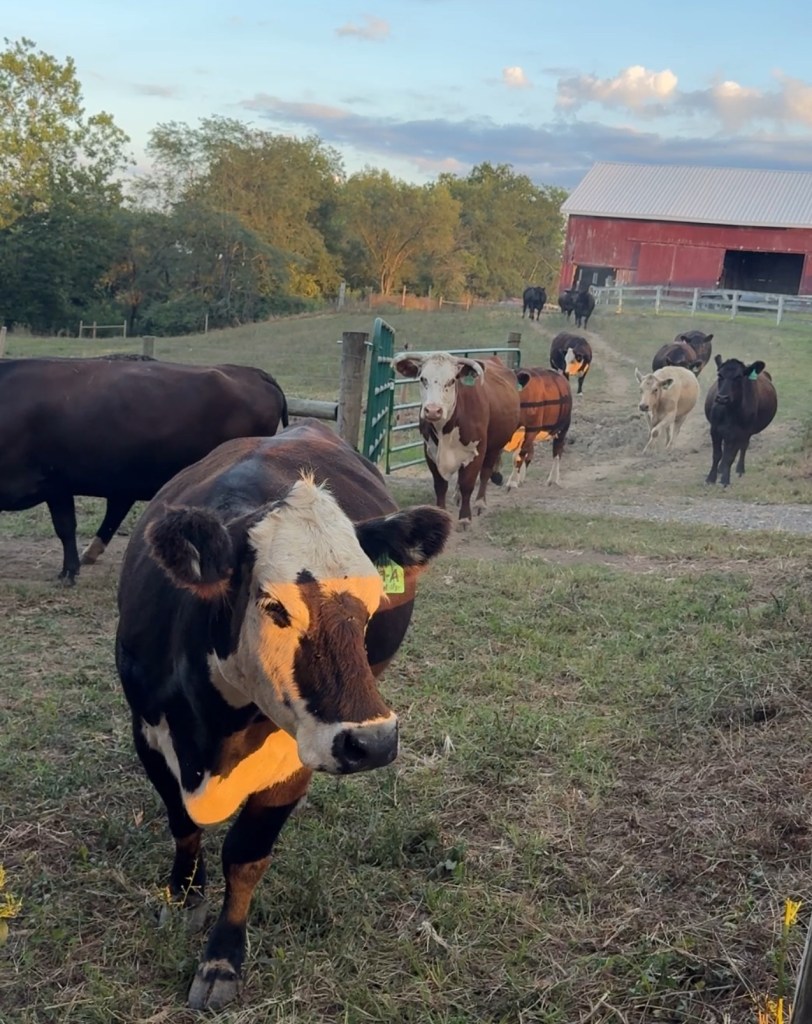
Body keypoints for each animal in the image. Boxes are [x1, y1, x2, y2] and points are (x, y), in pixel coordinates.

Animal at [115, 420, 452, 1010]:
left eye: (373, 601)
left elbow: (246, 856)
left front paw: (222, 959)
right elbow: (182, 824)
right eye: (273, 606)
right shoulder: (148, 732)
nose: (373, 742)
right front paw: (184, 895)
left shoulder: (298, 753)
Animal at [392, 352, 520, 525]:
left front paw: (465, 518)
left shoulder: (476, 452)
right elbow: (440, 486)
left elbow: (468, 483)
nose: (433, 411)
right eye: (423, 379)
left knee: (485, 473)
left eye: (452, 380)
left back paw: (480, 503)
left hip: (495, 446)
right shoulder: (430, 453)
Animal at [705, 354, 777, 486]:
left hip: (746, 433)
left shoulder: (741, 432)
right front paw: (711, 478)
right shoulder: (715, 429)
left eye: (738, 377)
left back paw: (739, 469)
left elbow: (731, 456)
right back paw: (721, 468)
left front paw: (725, 480)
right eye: (720, 375)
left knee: (742, 448)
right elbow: (717, 454)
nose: (722, 398)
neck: (730, 412)